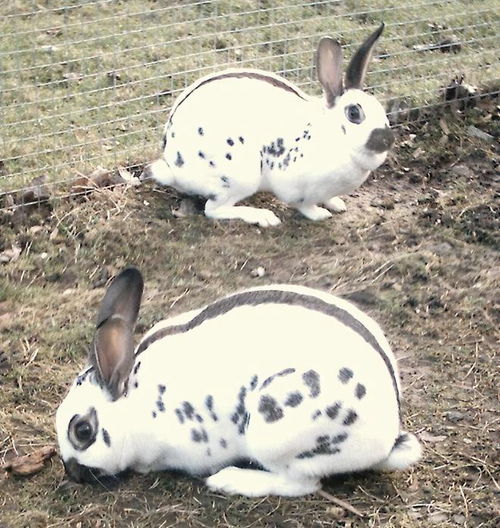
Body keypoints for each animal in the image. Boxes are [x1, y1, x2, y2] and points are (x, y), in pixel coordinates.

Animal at [55, 270, 422, 498]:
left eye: (82, 431)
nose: (72, 474)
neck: (134, 403)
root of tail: (389, 438)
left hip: (274, 432)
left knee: (302, 483)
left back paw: (230, 481)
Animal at [145, 23, 394, 227]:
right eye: (354, 113)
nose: (388, 139)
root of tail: (172, 165)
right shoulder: (295, 187)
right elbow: (305, 206)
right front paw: (321, 214)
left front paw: (337, 204)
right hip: (239, 178)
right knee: (213, 210)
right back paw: (263, 217)